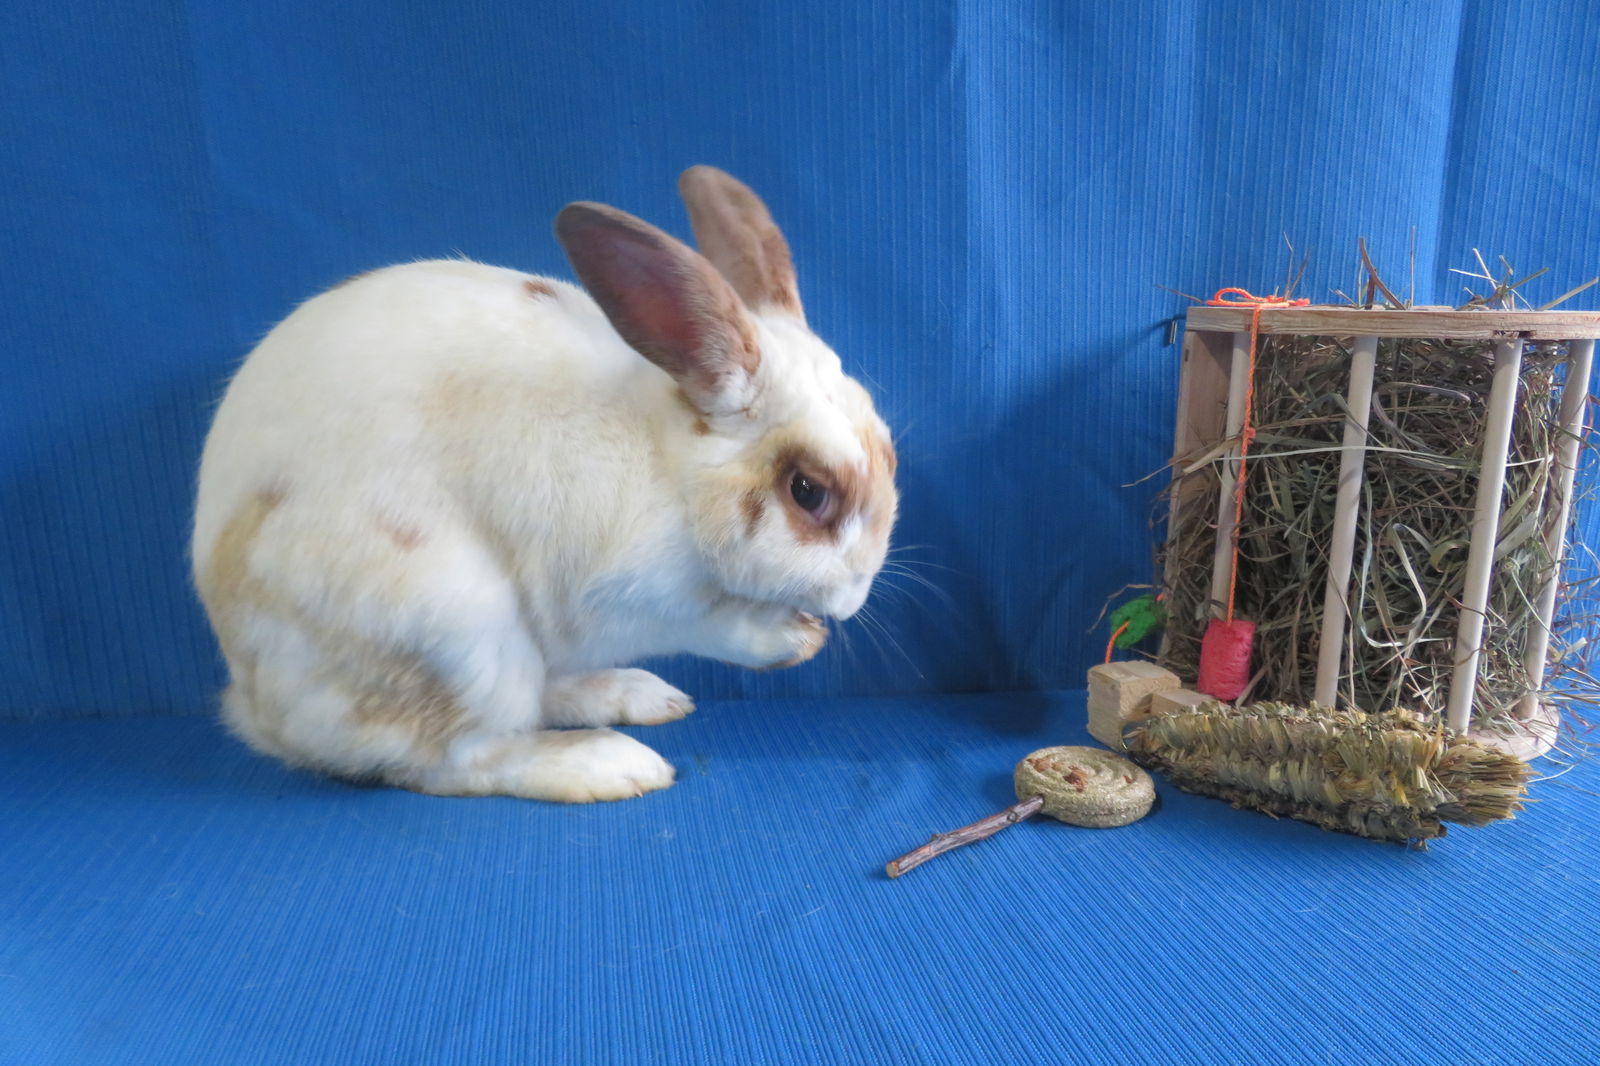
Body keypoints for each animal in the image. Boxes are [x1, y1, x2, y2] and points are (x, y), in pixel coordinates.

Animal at [192, 164, 896, 797]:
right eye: (808, 491)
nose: (854, 597)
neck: (673, 470)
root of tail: (257, 710)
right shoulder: (629, 599)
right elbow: (710, 626)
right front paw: (790, 640)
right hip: (460, 639)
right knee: (455, 758)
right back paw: (608, 764)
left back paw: (633, 695)